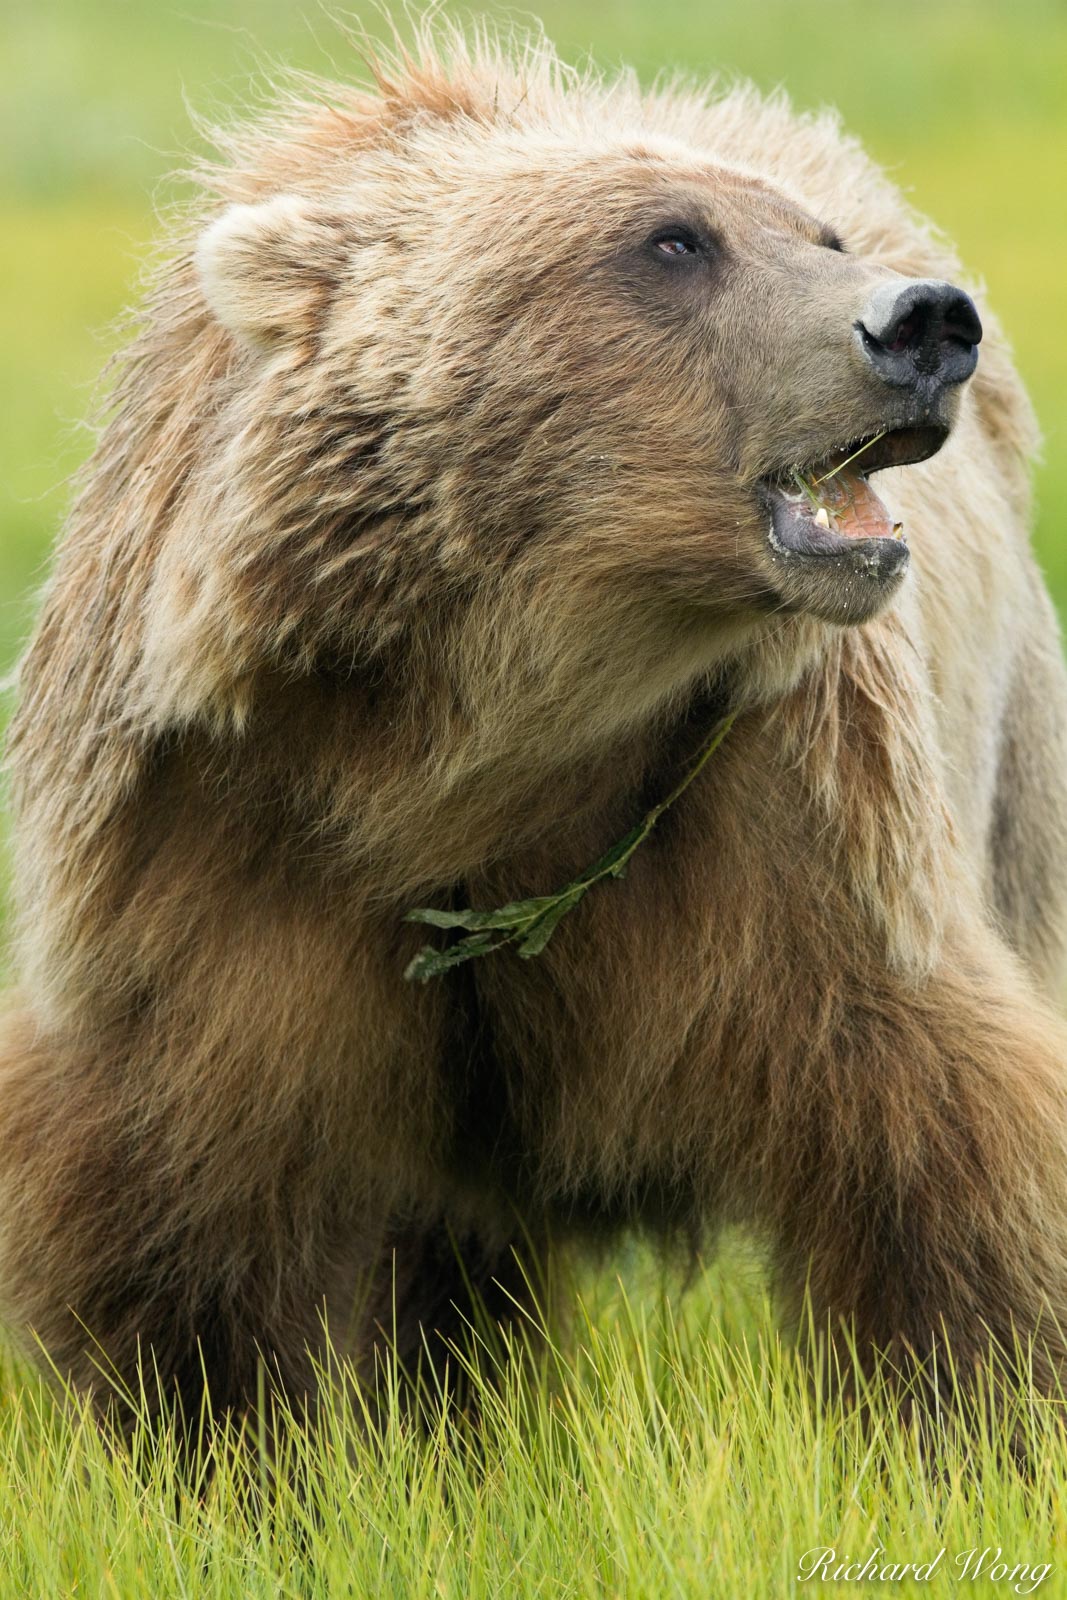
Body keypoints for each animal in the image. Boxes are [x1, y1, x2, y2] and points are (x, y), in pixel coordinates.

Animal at [2, 21, 1067, 1427]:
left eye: (819, 234)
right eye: (672, 241)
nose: (923, 318)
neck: (484, 748)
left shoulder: (784, 829)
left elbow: (939, 1143)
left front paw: (967, 1413)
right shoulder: (226, 835)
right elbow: (173, 1187)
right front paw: (211, 1429)